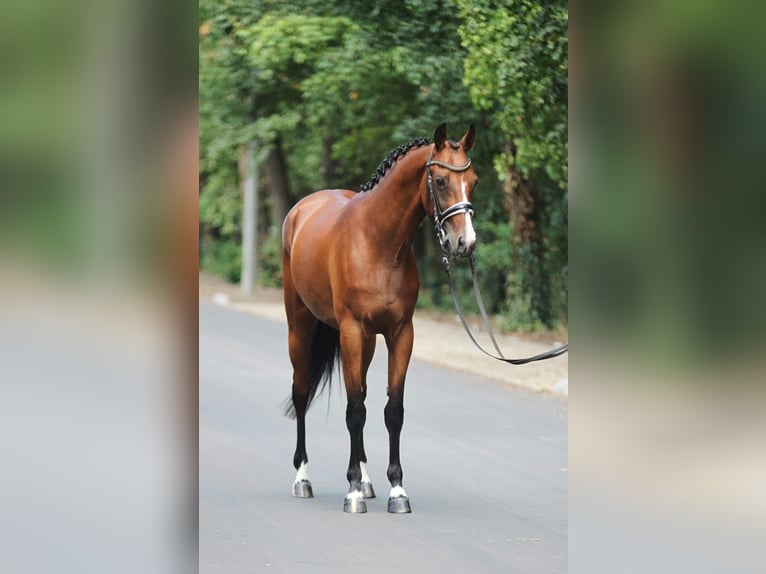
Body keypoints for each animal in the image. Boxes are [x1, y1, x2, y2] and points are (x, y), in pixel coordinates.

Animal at [280, 124, 476, 516]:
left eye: (473, 181)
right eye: (441, 180)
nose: (466, 242)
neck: (379, 243)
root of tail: (301, 209)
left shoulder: (401, 333)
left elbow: (391, 410)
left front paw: (396, 491)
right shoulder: (352, 331)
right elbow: (355, 411)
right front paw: (353, 493)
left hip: (368, 341)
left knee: (364, 395)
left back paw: (367, 480)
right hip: (301, 328)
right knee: (302, 392)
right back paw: (303, 479)